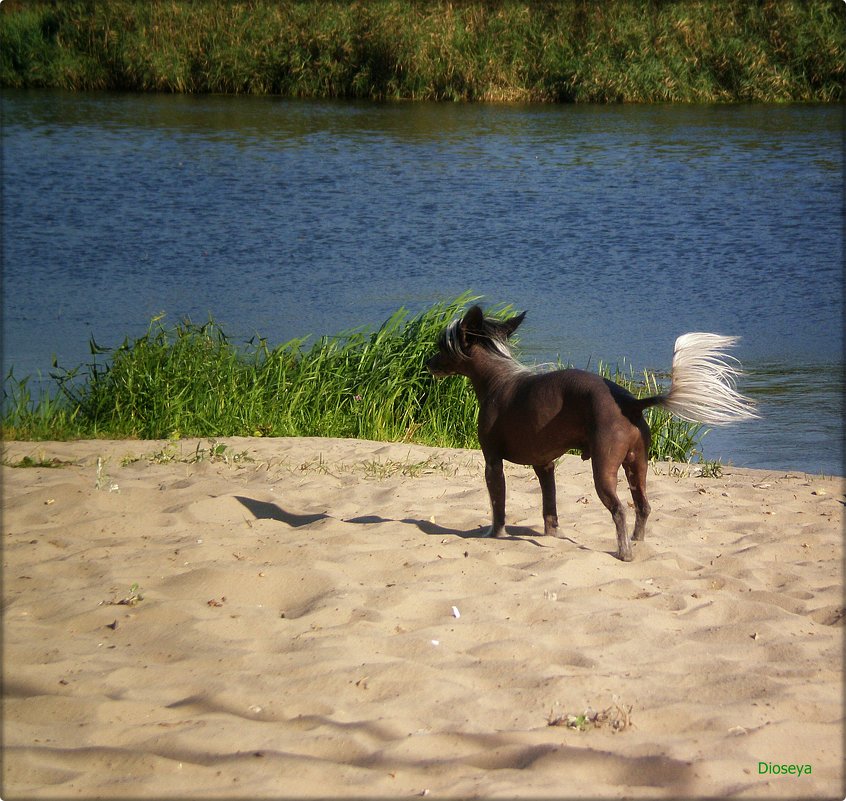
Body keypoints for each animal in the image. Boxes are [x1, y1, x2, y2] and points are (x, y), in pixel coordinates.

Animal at [428, 304, 760, 560]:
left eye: (440, 347)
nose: (428, 362)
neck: (498, 379)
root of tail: (630, 402)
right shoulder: (545, 465)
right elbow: (550, 507)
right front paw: (553, 536)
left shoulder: (492, 462)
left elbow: (499, 505)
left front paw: (494, 535)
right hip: (637, 465)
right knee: (643, 506)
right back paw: (638, 541)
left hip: (604, 469)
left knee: (620, 510)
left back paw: (625, 553)